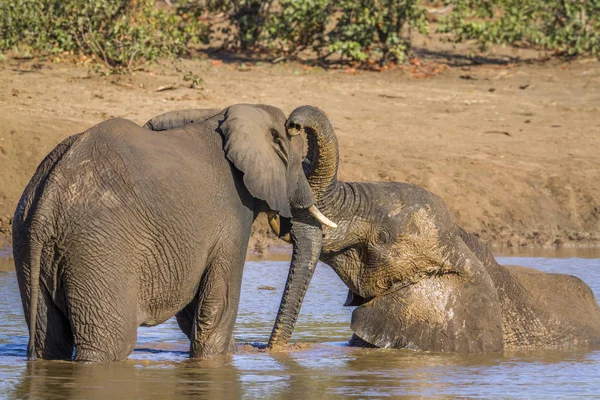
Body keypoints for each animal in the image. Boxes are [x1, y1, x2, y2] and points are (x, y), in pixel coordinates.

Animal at [11, 103, 336, 362]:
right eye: (300, 161)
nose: (295, 123)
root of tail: (49, 196)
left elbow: (193, 312)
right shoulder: (233, 215)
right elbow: (218, 305)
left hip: (28, 240)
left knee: (48, 340)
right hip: (98, 250)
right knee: (110, 344)